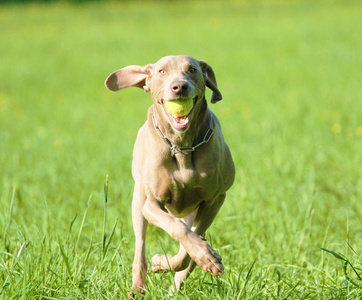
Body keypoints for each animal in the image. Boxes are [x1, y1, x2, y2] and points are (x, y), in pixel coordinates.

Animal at [104, 55, 235, 296]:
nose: (179, 87)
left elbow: (191, 242)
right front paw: (161, 261)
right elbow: (177, 228)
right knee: (140, 247)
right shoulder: (152, 203)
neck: (182, 146)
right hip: (138, 200)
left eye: (192, 69)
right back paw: (138, 287)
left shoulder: (215, 198)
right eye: (162, 71)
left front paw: (204, 259)